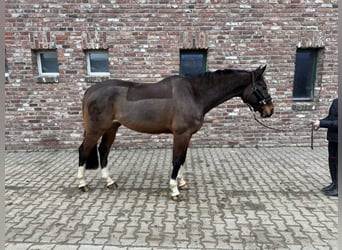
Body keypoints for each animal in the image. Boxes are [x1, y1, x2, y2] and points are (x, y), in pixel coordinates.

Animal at [77, 65, 272, 200]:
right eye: (262, 87)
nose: (270, 110)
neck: (194, 94)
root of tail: (89, 91)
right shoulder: (181, 134)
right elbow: (177, 160)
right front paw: (174, 190)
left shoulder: (187, 135)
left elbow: (183, 159)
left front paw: (182, 183)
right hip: (95, 130)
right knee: (84, 151)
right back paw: (82, 184)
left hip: (112, 128)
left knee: (103, 150)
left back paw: (109, 182)